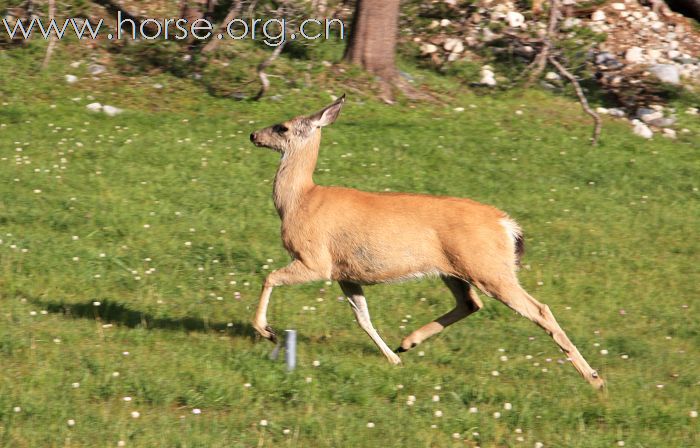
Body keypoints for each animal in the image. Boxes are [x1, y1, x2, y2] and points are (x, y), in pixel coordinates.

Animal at [249, 94, 604, 388]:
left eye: (282, 127)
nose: (253, 135)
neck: (300, 200)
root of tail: (507, 225)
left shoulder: (316, 260)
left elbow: (270, 277)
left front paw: (267, 331)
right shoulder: (346, 273)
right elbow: (363, 317)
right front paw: (392, 359)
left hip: (489, 267)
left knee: (539, 309)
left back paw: (594, 378)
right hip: (455, 270)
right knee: (470, 303)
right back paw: (407, 343)